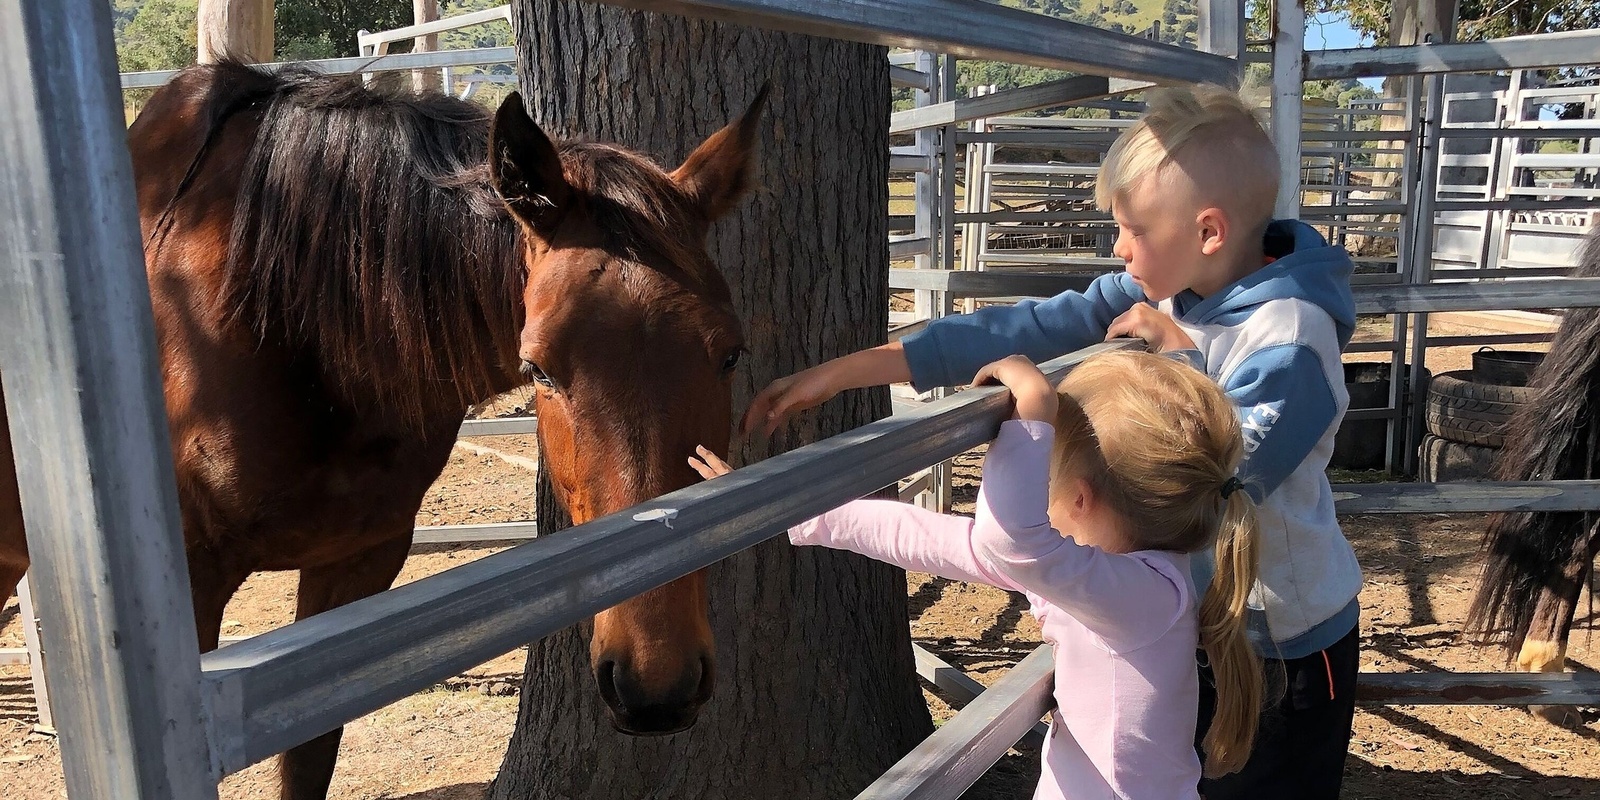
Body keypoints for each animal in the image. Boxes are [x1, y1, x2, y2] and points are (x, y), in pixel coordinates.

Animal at [0, 62, 764, 800]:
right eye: (538, 369)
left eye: (731, 353)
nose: (657, 685)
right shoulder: (192, 592)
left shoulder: (356, 572)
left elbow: (309, 763)